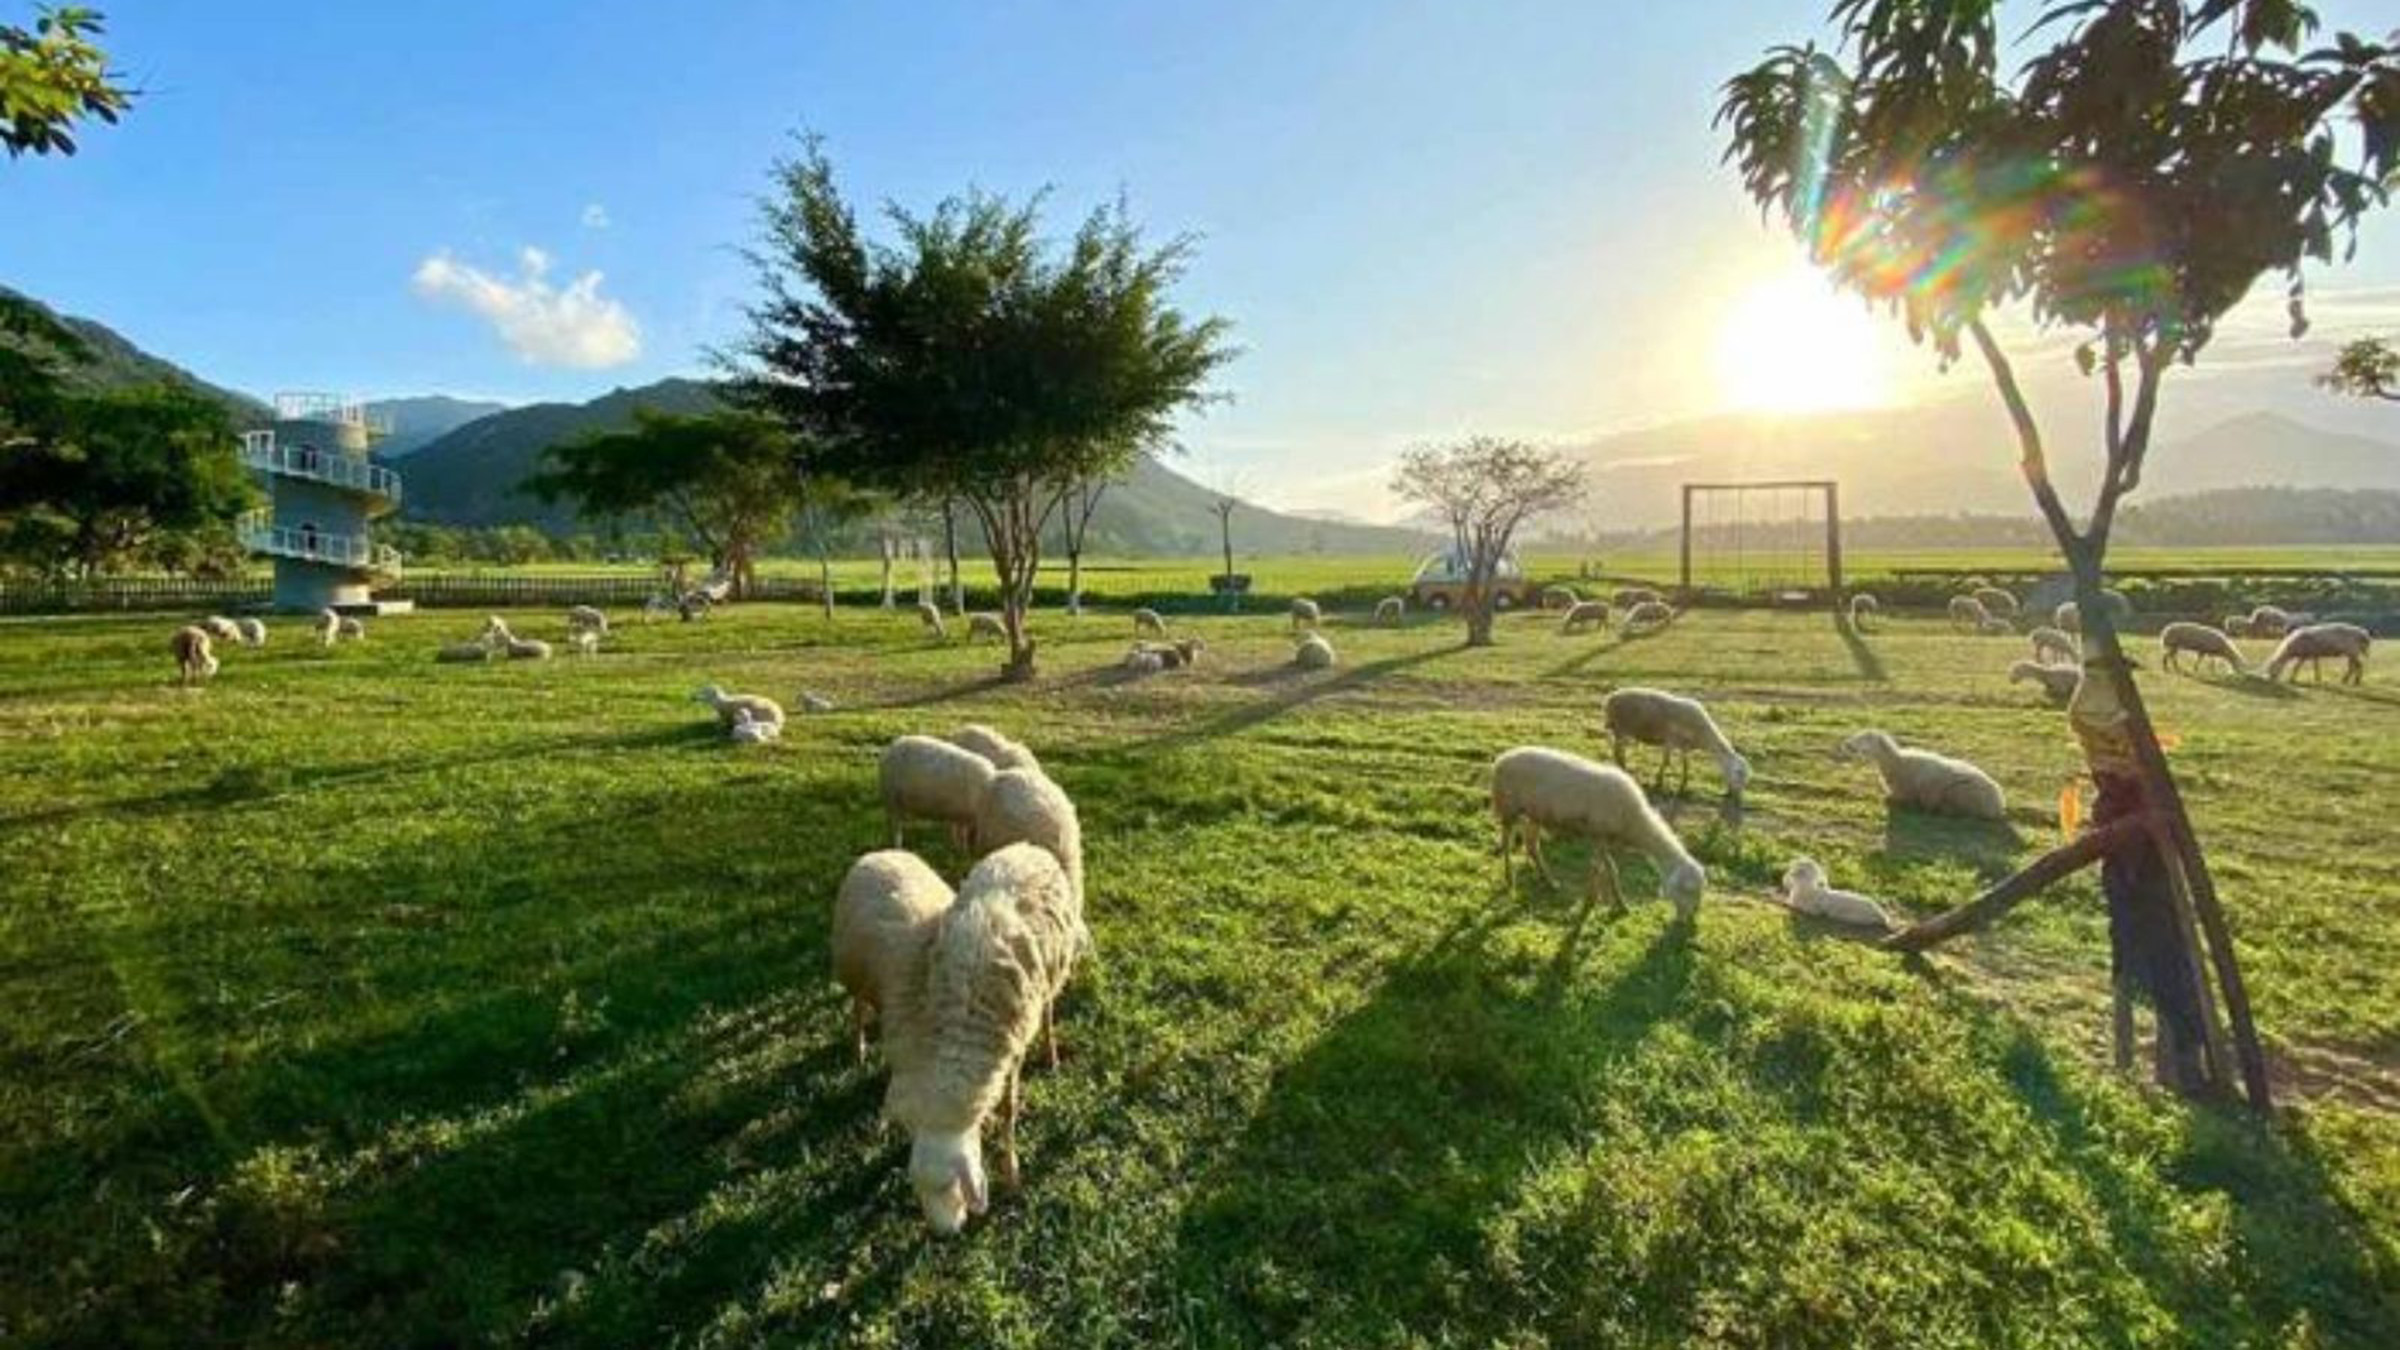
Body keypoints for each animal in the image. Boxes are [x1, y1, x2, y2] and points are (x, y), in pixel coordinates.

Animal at [889, 843, 1083, 1233]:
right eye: (917, 1191)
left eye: (950, 1185)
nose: (944, 1234)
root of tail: (1027, 846)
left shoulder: (1013, 1044)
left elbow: (1009, 1106)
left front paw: (1011, 1170)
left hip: (1051, 975)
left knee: (1049, 1010)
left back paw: (1052, 1052)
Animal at [1489, 746, 1706, 918]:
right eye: (1689, 891)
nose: (1689, 920)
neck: (1635, 821)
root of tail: (1502, 758)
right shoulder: (1600, 835)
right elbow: (1607, 869)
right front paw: (1603, 903)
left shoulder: (1603, 839)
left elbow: (1605, 868)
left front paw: (1609, 902)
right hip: (1509, 806)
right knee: (1506, 841)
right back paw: (1510, 879)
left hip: (1535, 813)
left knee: (1532, 845)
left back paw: (1549, 882)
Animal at [1600, 687, 1750, 800]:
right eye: (1738, 772)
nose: (1736, 796)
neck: (1703, 735)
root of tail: (1611, 697)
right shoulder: (1670, 740)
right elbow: (1666, 762)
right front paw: (1659, 783)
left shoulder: (1684, 747)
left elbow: (1686, 765)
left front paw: (1684, 784)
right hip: (1621, 728)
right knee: (1618, 752)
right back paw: (1623, 770)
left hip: (1621, 730)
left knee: (1619, 751)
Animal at [1837, 730, 2007, 821]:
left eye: (1866, 738)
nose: (1847, 744)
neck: (1897, 762)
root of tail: (1999, 802)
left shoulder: (1903, 793)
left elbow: (1889, 799)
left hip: (1961, 794)